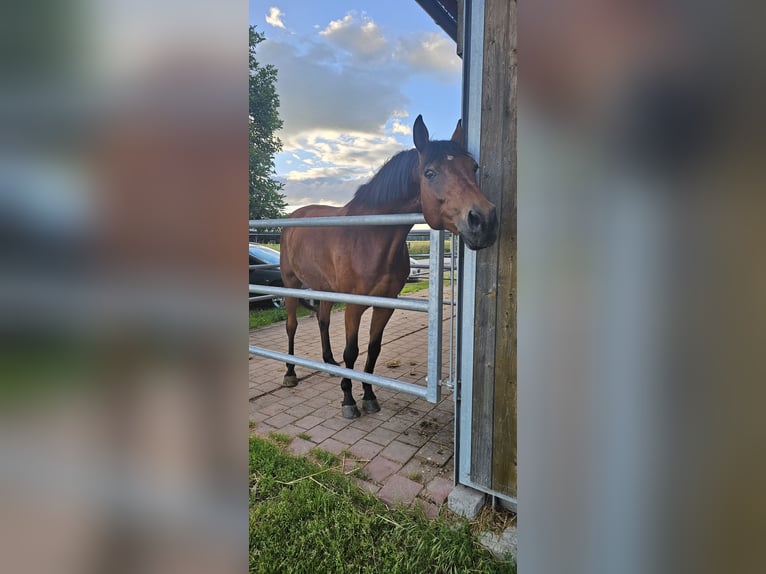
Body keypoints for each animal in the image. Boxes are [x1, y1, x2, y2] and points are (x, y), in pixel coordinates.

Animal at [280, 116, 498, 418]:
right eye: (430, 173)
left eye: (472, 167)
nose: (484, 220)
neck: (369, 237)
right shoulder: (354, 305)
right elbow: (352, 351)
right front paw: (348, 400)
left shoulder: (386, 304)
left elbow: (373, 349)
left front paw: (369, 395)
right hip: (290, 284)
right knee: (291, 326)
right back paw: (290, 372)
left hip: (325, 289)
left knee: (323, 321)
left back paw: (329, 363)